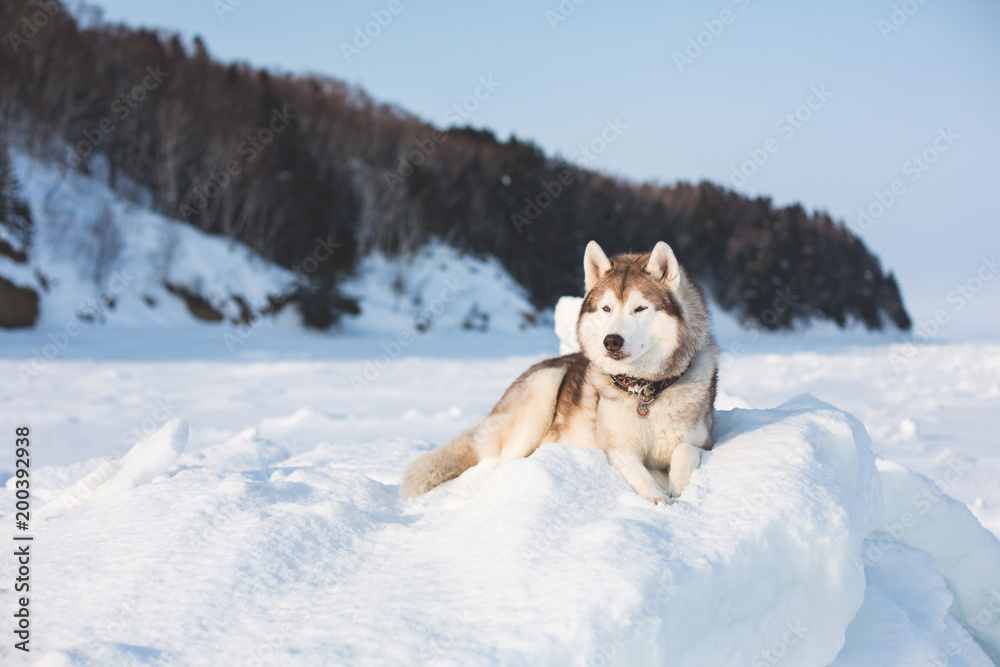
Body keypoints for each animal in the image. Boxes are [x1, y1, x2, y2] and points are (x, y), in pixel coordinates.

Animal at [402, 243, 724, 504]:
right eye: (607, 308)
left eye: (641, 308)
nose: (611, 341)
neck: (645, 391)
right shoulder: (619, 450)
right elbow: (641, 475)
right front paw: (658, 497)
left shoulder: (704, 443)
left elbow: (685, 451)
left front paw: (677, 486)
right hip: (544, 386)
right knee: (501, 463)